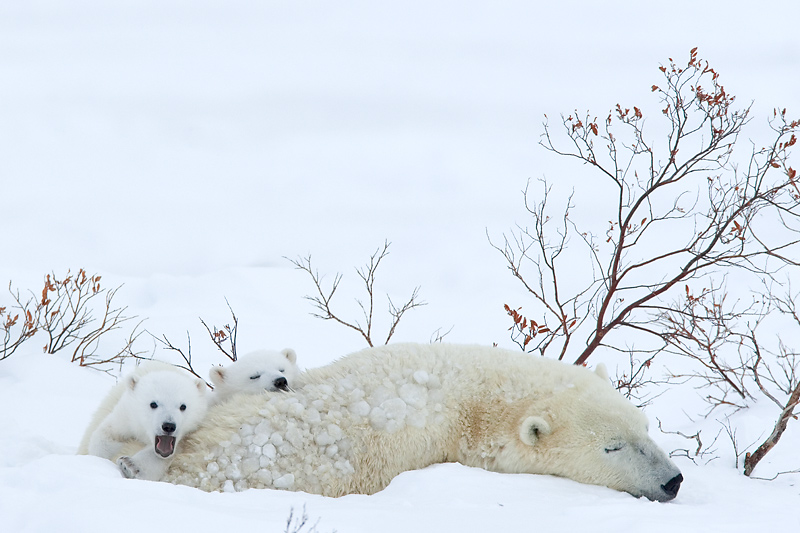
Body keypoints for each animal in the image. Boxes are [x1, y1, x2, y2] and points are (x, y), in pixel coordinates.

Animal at [77, 360, 208, 480]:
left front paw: (129, 465)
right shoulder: (126, 417)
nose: (168, 426)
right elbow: (102, 436)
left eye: (183, 406)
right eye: (153, 404)